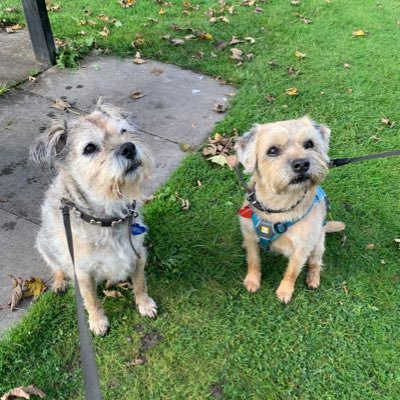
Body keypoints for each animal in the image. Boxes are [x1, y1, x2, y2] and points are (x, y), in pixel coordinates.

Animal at [29, 102, 157, 334]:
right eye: (89, 148)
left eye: (123, 131)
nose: (129, 147)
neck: (108, 217)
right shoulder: (82, 273)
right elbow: (92, 301)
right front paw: (98, 321)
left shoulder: (137, 254)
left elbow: (140, 283)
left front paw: (144, 303)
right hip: (44, 246)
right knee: (57, 267)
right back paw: (59, 282)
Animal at [236, 115, 346, 304]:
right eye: (272, 150)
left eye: (309, 144)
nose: (301, 164)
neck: (278, 206)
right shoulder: (250, 236)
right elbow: (253, 260)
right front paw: (252, 280)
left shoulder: (301, 249)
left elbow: (292, 272)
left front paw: (285, 291)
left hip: (318, 244)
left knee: (316, 262)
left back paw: (313, 278)